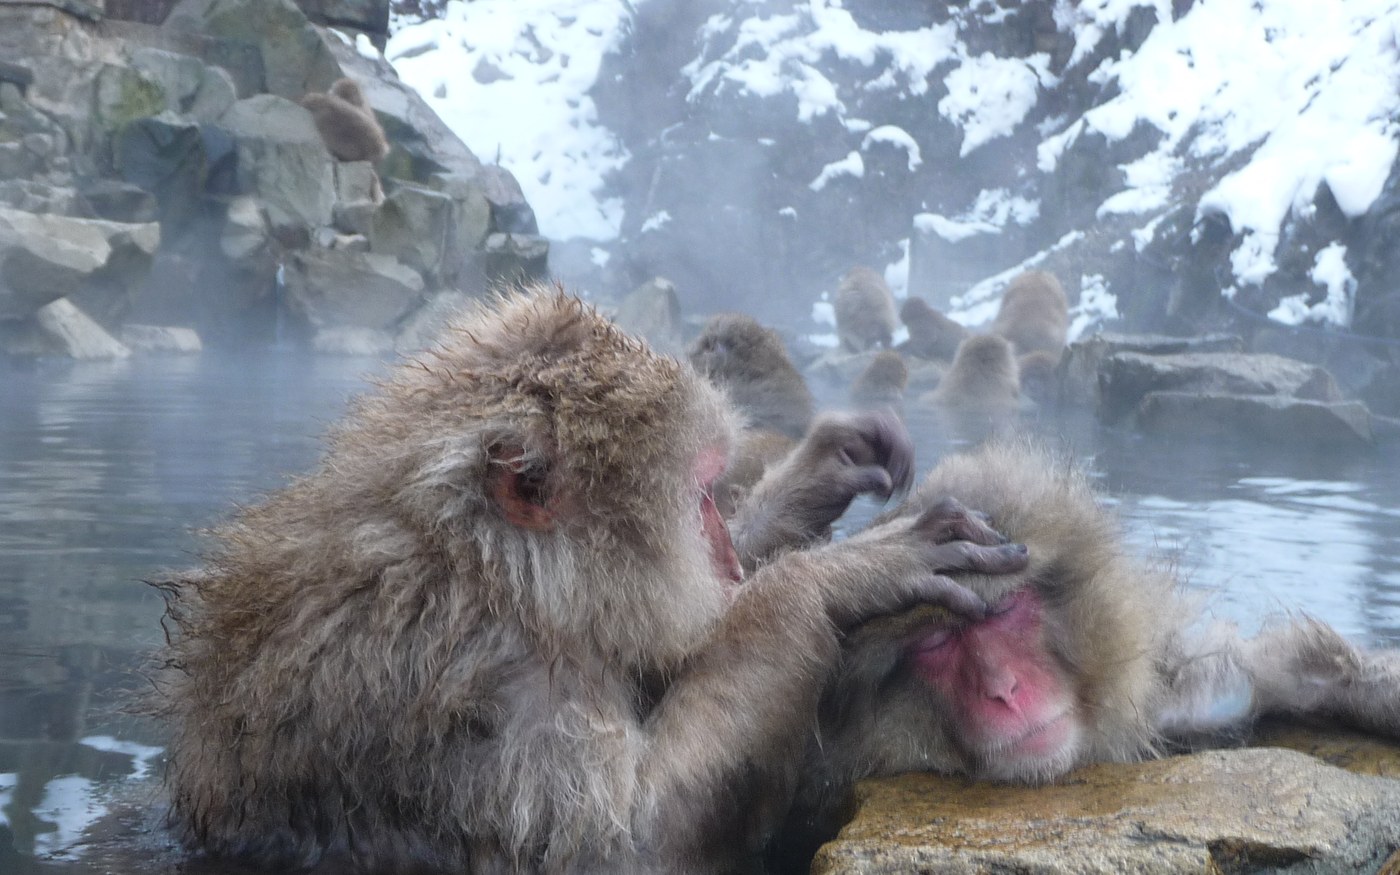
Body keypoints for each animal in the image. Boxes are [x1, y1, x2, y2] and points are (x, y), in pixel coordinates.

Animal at [149, 287, 1031, 874]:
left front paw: (822, 468)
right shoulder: (483, 682)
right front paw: (835, 575)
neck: (489, 573)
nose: (721, 552)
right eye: (696, 496)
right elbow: (629, 846)